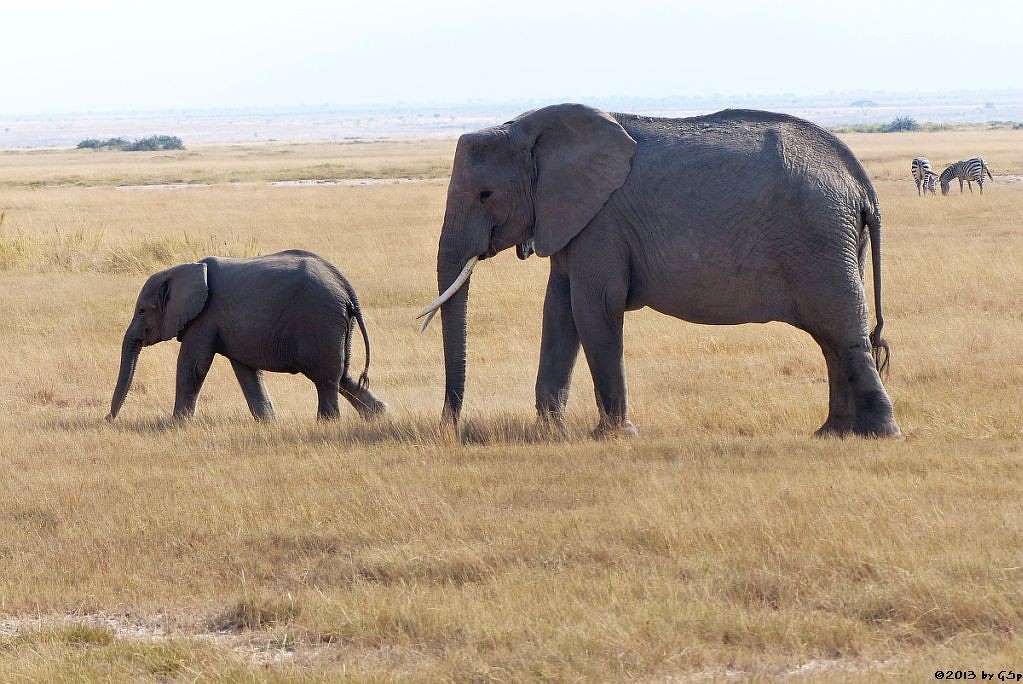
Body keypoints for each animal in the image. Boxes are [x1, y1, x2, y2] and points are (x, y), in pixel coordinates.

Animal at [106, 250, 386, 421]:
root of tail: (347, 289)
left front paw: (176, 426)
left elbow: (194, 366)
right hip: (334, 326)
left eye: (142, 311)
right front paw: (268, 423)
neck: (183, 270)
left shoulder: (204, 317)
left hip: (319, 319)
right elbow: (245, 370)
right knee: (340, 374)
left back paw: (327, 424)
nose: (108, 419)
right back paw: (378, 415)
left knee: (326, 378)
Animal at [419, 104, 900, 439]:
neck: (527, 128)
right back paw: (833, 433)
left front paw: (612, 437)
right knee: (832, 339)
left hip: (820, 237)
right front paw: (549, 434)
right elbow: (557, 311)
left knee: (841, 333)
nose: (448, 427)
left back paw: (878, 435)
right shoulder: (571, 219)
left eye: (485, 194)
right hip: (834, 240)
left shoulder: (602, 221)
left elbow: (593, 309)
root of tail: (861, 184)